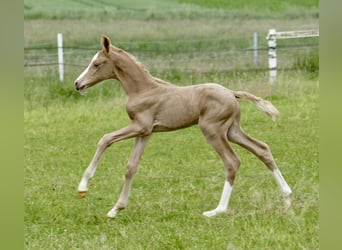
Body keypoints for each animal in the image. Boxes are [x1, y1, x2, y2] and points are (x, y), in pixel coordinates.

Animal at [74, 35, 292, 219]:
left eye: (96, 64)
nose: (77, 84)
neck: (143, 90)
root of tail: (232, 93)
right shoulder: (146, 132)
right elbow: (131, 167)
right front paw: (115, 209)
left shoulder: (139, 126)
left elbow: (105, 139)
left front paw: (83, 187)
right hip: (232, 130)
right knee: (262, 149)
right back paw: (287, 198)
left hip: (212, 130)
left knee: (232, 161)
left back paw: (217, 210)